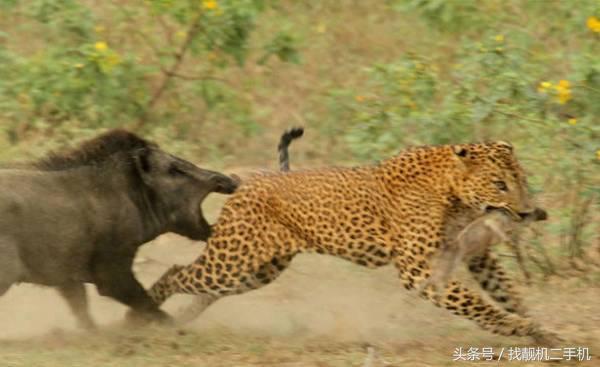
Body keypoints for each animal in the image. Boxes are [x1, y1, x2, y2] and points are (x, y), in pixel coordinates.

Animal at [144, 132, 556, 344]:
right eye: (500, 184)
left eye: (521, 180)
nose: (526, 212)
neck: (454, 193)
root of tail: (251, 179)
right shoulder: (418, 269)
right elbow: (477, 303)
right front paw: (518, 328)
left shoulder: (472, 255)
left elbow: (504, 290)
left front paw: (540, 331)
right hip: (231, 260)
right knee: (176, 273)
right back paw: (143, 315)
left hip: (258, 270)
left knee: (205, 291)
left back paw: (179, 319)